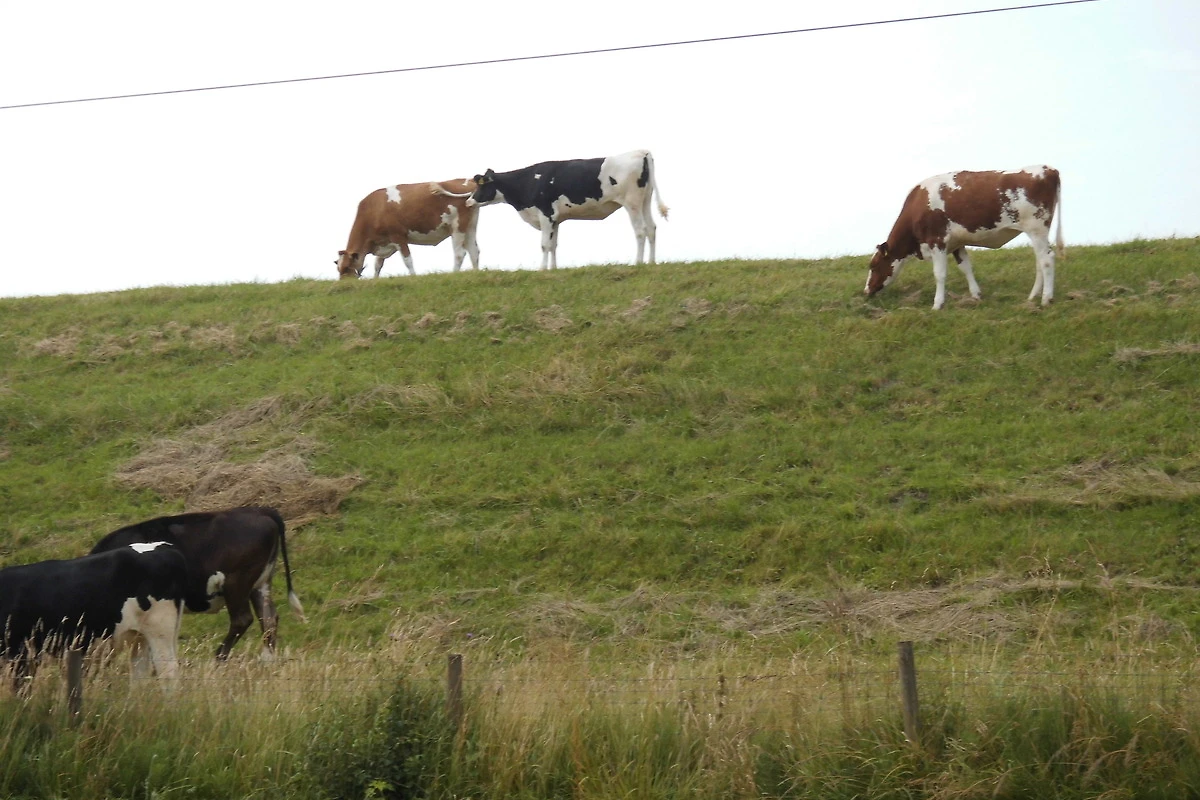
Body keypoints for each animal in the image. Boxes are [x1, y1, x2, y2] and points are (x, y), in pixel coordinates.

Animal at [0, 542, 187, 690]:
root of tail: (167, 548)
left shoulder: (21, 655)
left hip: (159, 631)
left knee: (168, 673)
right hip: (140, 637)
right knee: (140, 675)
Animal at [90, 506, 304, 661]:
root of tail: (261, 510)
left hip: (237, 581)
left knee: (242, 619)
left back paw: (219, 658)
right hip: (260, 583)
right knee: (268, 618)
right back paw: (267, 661)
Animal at [335, 179, 480, 279]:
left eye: (347, 267)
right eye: (339, 269)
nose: (344, 283)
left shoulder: (398, 236)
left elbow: (407, 260)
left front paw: (413, 277)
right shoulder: (385, 242)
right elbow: (378, 265)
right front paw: (375, 280)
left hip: (457, 227)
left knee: (460, 253)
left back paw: (454, 274)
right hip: (470, 227)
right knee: (474, 251)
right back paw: (476, 273)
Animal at [455, 149, 669, 270]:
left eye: (480, 185)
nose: (468, 202)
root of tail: (640, 152)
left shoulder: (545, 214)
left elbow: (544, 245)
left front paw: (542, 269)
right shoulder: (555, 219)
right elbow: (553, 245)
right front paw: (553, 268)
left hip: (632, 203)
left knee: (640, 230)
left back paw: (638, 263)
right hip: (645, 201)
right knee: (652, 228)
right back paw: (651, 262)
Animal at [865, 166, 1063, 310]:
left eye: (873, 266)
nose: (866, 290)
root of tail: (1048, 169)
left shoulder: (937, 241)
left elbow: (939, 274)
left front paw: (937, 304)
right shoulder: (956, 244)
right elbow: (966, 268)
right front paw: (976, 295)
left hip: (1037, 228)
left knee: (1047, 260)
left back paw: (1046, 299)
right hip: (1036, 233)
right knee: (1040, 261)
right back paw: (1032, 297)